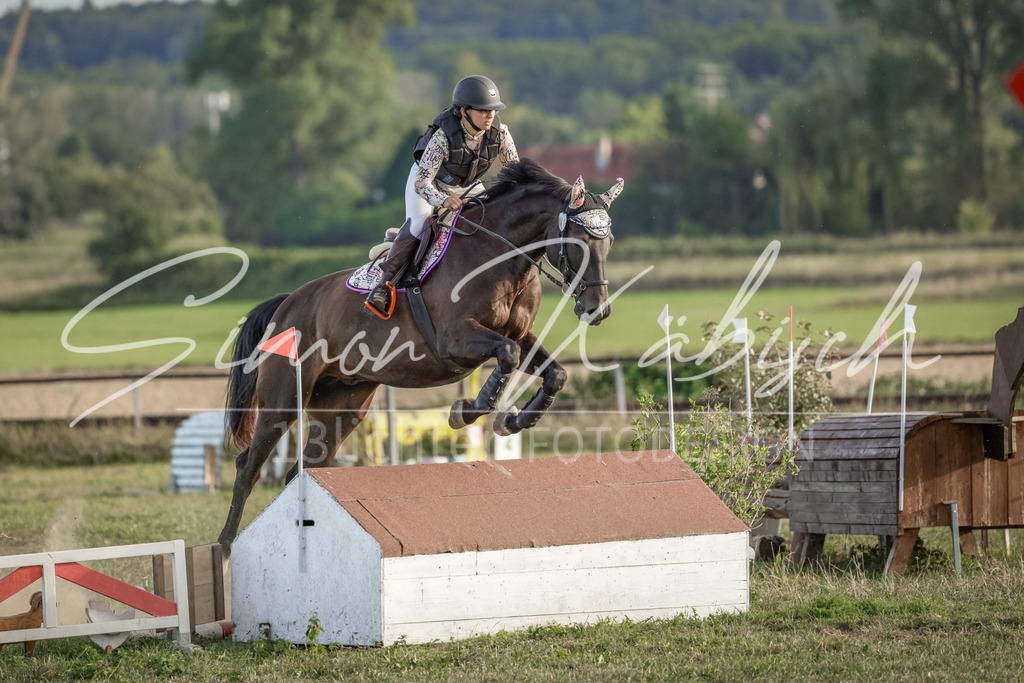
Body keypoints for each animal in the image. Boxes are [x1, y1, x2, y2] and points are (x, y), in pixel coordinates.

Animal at [218, 159, 623, 550]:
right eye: (579, 243)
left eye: (609, 243)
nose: (598, 311)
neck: (499, 257)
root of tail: (287, 303)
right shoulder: (456, 340)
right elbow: (505, 357)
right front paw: (466, 412)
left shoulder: (519, 336)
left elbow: (555, 373)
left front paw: (513, 421)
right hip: (283, 400)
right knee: (248, 467)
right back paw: (224, 547)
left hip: (342, 408)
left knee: (301, 469)